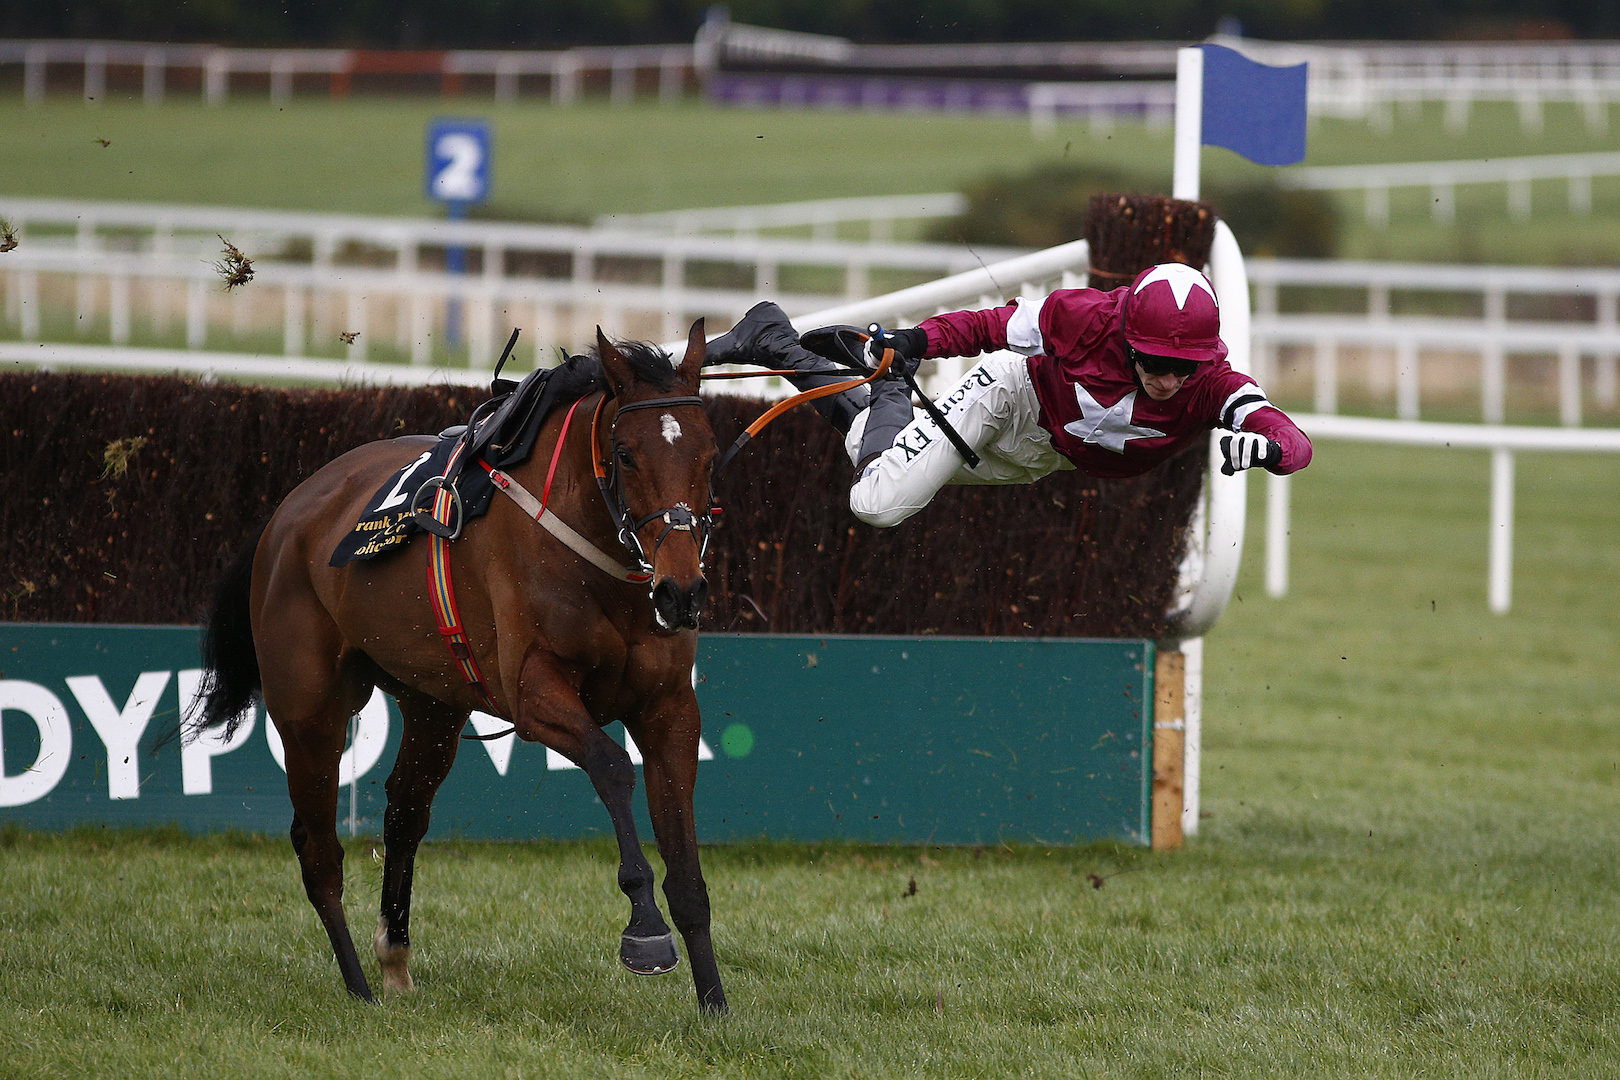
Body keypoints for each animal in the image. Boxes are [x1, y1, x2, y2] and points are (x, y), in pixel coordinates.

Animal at [186, 323, 725, 1016]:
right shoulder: (535, 695)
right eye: (627, 454)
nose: (682, 592)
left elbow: (686, 862)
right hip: (309, 710)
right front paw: (646, 931)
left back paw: (393, 957)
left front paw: (714, 1001)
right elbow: (610, 765)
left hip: (434, 704)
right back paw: (358, 985)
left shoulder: (670, 709)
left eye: (710, 456)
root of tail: (284, 516)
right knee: (319, 847)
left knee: (403, 813)